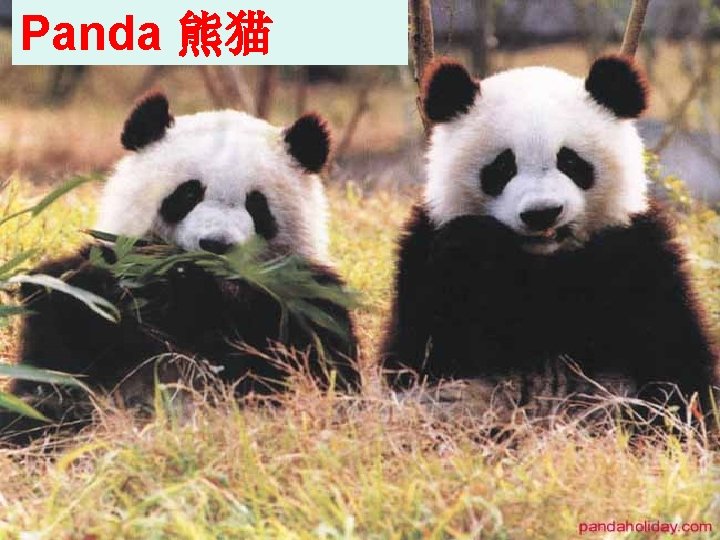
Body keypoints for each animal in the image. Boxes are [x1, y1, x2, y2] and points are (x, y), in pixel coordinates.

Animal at [2, 94, 359, 443]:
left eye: (256, 204)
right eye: (188, 193)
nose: (216, 243)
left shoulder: (307, 295)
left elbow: (302, 359)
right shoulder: (97, 268)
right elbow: (64, 320)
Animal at [382, 55, 718, 421]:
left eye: (570, 160)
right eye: (502, 167)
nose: (542, 212)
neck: (544, 262)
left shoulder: (641, 248)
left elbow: (675, 359)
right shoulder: (423, 247)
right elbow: (417, 354)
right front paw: (474, 249)